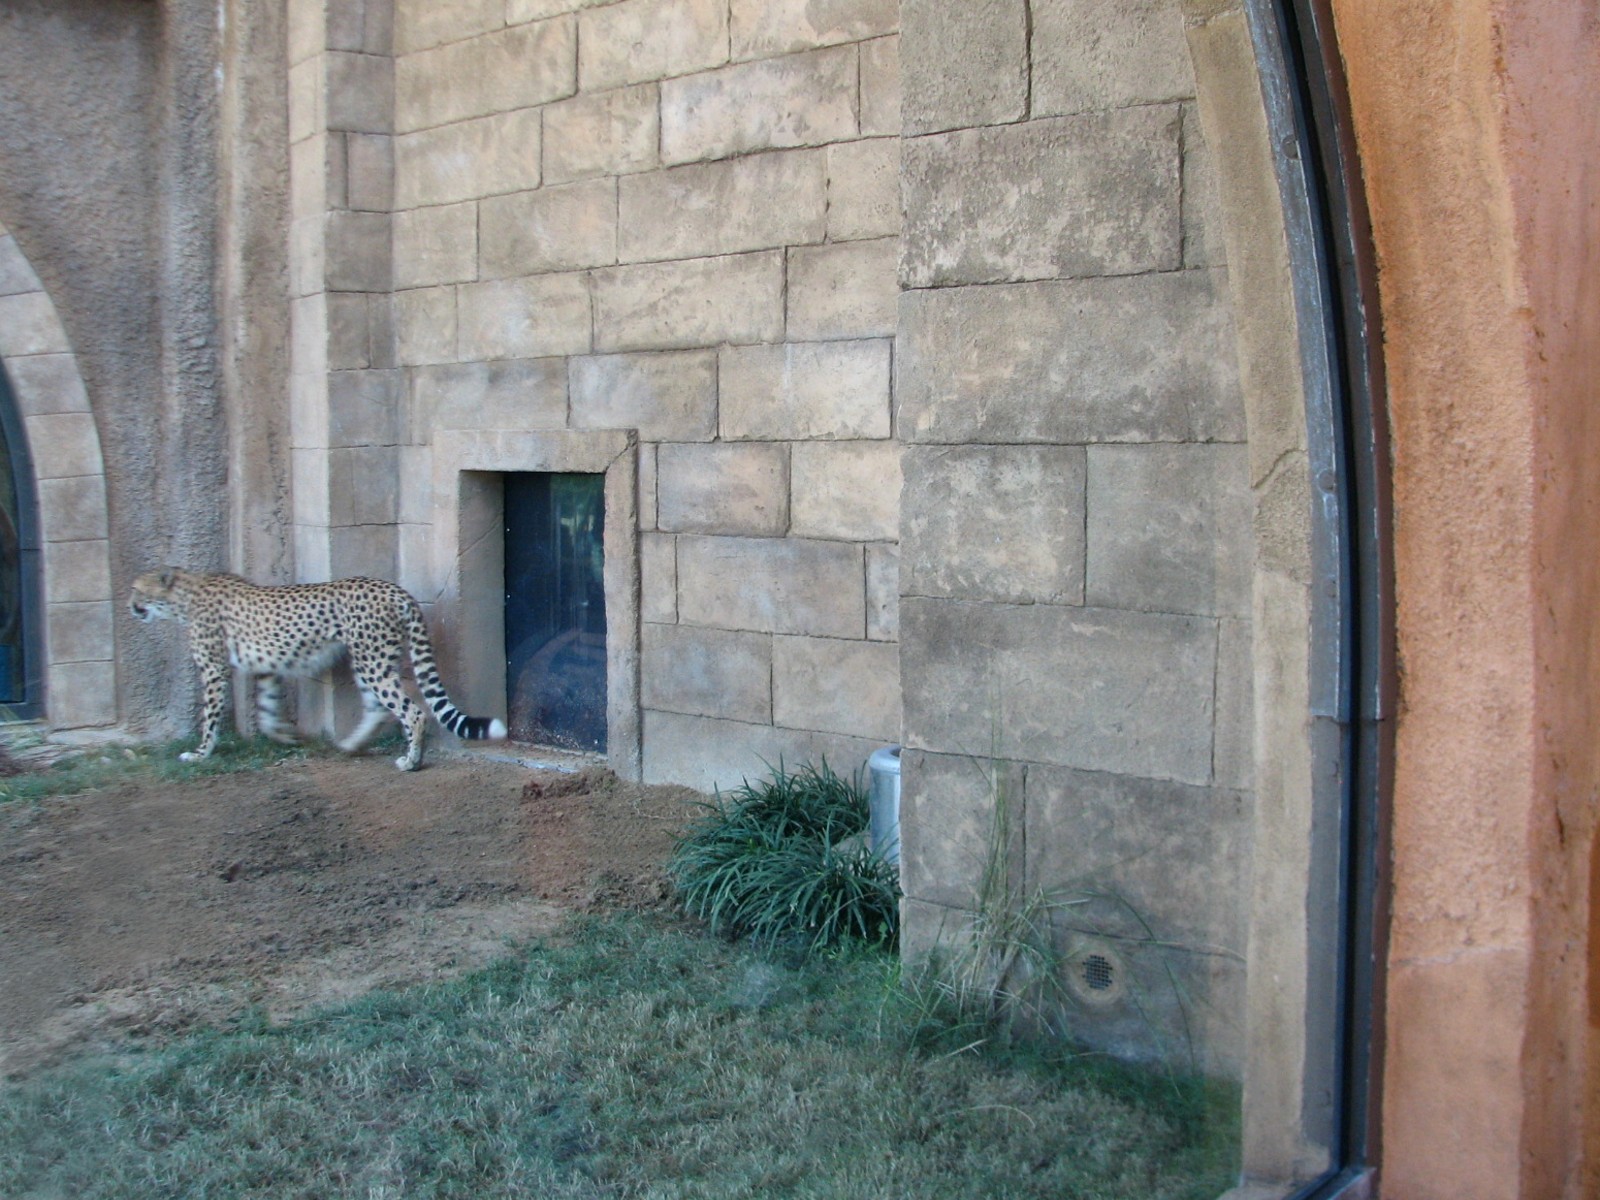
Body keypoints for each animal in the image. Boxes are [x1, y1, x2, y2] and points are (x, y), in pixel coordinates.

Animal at [128, 568, 507, 771]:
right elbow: (266, 710)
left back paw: (410, 761)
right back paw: (351, 745)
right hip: (370, 660)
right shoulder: (267, 669)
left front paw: (200, 753)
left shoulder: (212, 671)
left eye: (136, 589)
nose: (131, 606)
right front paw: (283, 736)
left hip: (372, 660)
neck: (184, 596)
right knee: (377, 708)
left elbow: (210, 717)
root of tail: (395, 589)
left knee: (412, 711)